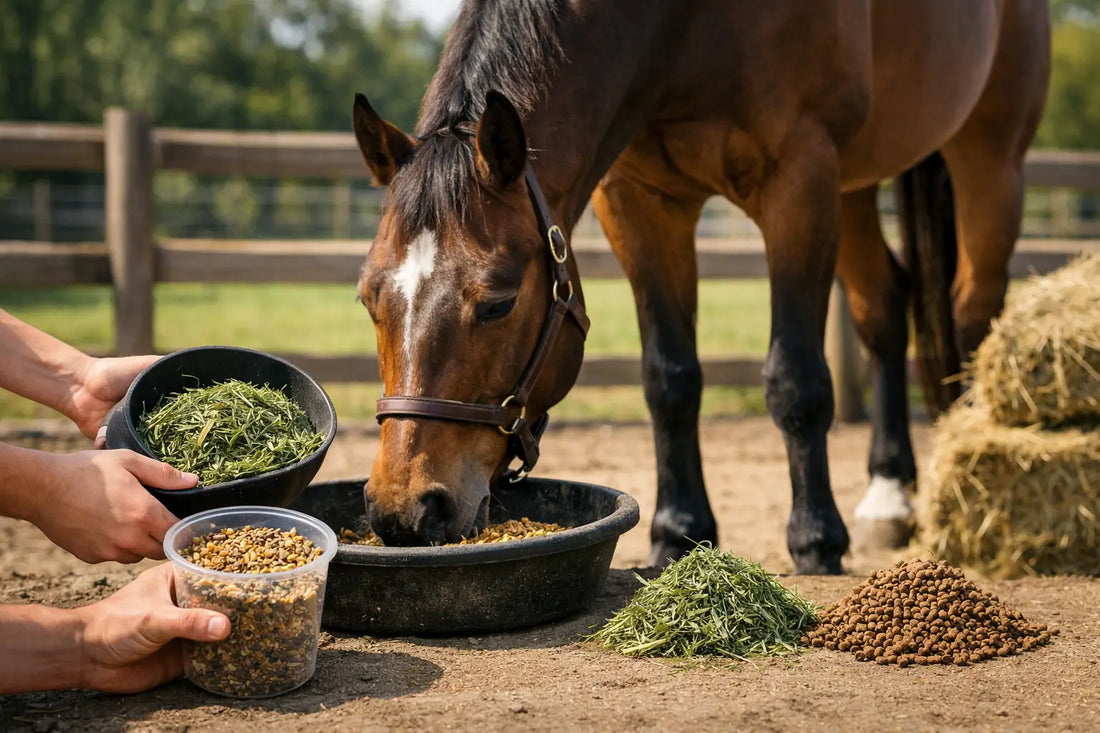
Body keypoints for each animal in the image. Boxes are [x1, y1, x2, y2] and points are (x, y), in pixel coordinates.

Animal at [351, 0, 1050, 573]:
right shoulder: (641, 200)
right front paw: (679, 531)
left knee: (972, 312)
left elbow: (796, 380)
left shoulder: (799, 179)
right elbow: (670, 379)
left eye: (497, 304)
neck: (682, 26)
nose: (405, 510)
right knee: (884, 309)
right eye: (368, 298)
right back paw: (890, 493)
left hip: (989, 163)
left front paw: (815, 536)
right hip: (855, 187)